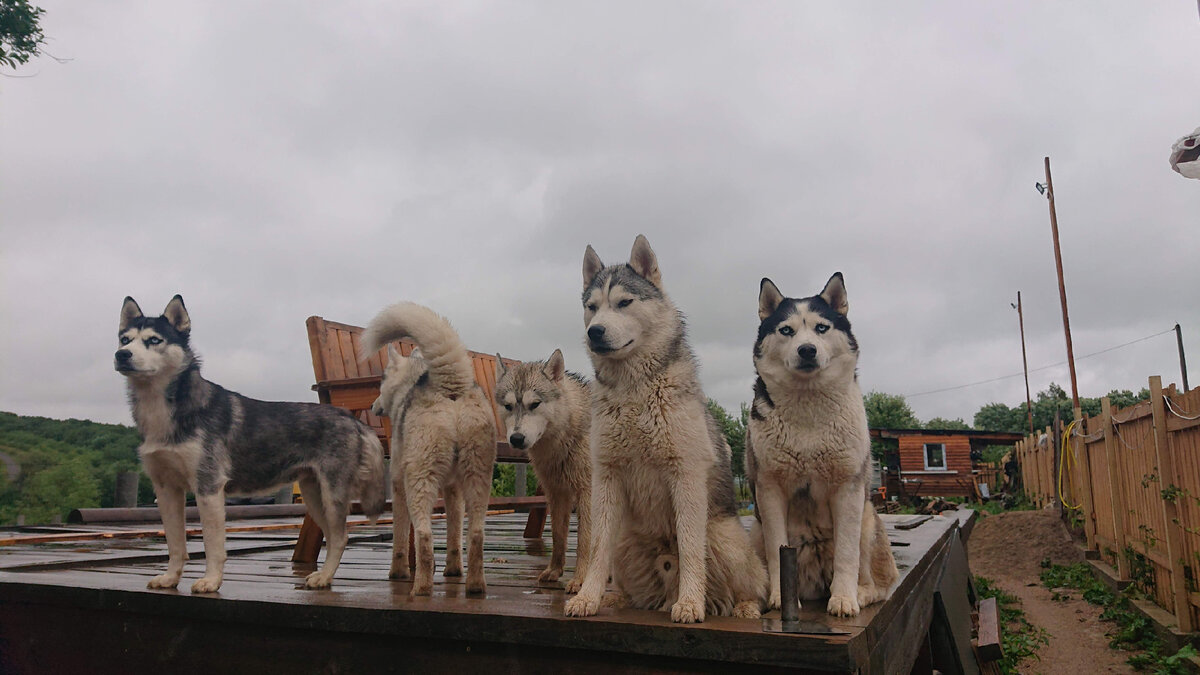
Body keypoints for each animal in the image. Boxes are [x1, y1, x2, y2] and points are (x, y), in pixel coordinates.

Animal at [112, 294, 384, 588]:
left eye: (153, 340)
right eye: (125, 339)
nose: (122, 355)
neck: (163, 413)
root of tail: (352, 418)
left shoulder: (208, 487)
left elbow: (212, 544)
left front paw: (211, 581)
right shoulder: (166, 489)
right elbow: (175, 544)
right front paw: (171, 577)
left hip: (332, 494)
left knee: (341, 536)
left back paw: (324, 577)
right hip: (313, 497)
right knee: (334, 536)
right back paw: (324, 575)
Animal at [357, 303, 494, 593]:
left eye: (381, 382)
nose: (374, 406)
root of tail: (450, 383)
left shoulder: (398, 485)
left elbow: (400, 535)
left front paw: (398, 571)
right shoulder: (454, 489)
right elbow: (454, 534)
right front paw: (453, 569)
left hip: (419, 479)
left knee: (423, 535)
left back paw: (420, 586)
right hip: (478, 477)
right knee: (476, 534)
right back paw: (475, 585)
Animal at [494, 348, 592, 590]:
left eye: (535, 404)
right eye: (508, 406)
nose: (516, 439)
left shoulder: (587, 493)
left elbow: (585, 542)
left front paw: (580, 580)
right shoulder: (557, 494)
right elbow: (558, 536)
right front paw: (554, 571)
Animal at [564, 236, 768, 619]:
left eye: (624, 302)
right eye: (592, 307)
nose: (594, 331)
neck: (634, 392)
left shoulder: (684, 475)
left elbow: (689, 549)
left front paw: (690, 603)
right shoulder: (607, 476)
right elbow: (597, 547)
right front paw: (587, 597)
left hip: (724, 537)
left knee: (753, 585)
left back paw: (739, 606)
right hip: (625, 542)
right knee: (633, 584)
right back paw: (619, 598)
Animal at [744, 273, 897, 614]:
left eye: (821, 328)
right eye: (786, 330)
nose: (807, 350)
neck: (808, 407)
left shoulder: (848, 488)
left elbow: (847, 554)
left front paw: (844, 598)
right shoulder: (769, 489)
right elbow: (777, 549)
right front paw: (780, 597)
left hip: (868, 520)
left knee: (880, 585)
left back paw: (861, 593)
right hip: (756, 530)